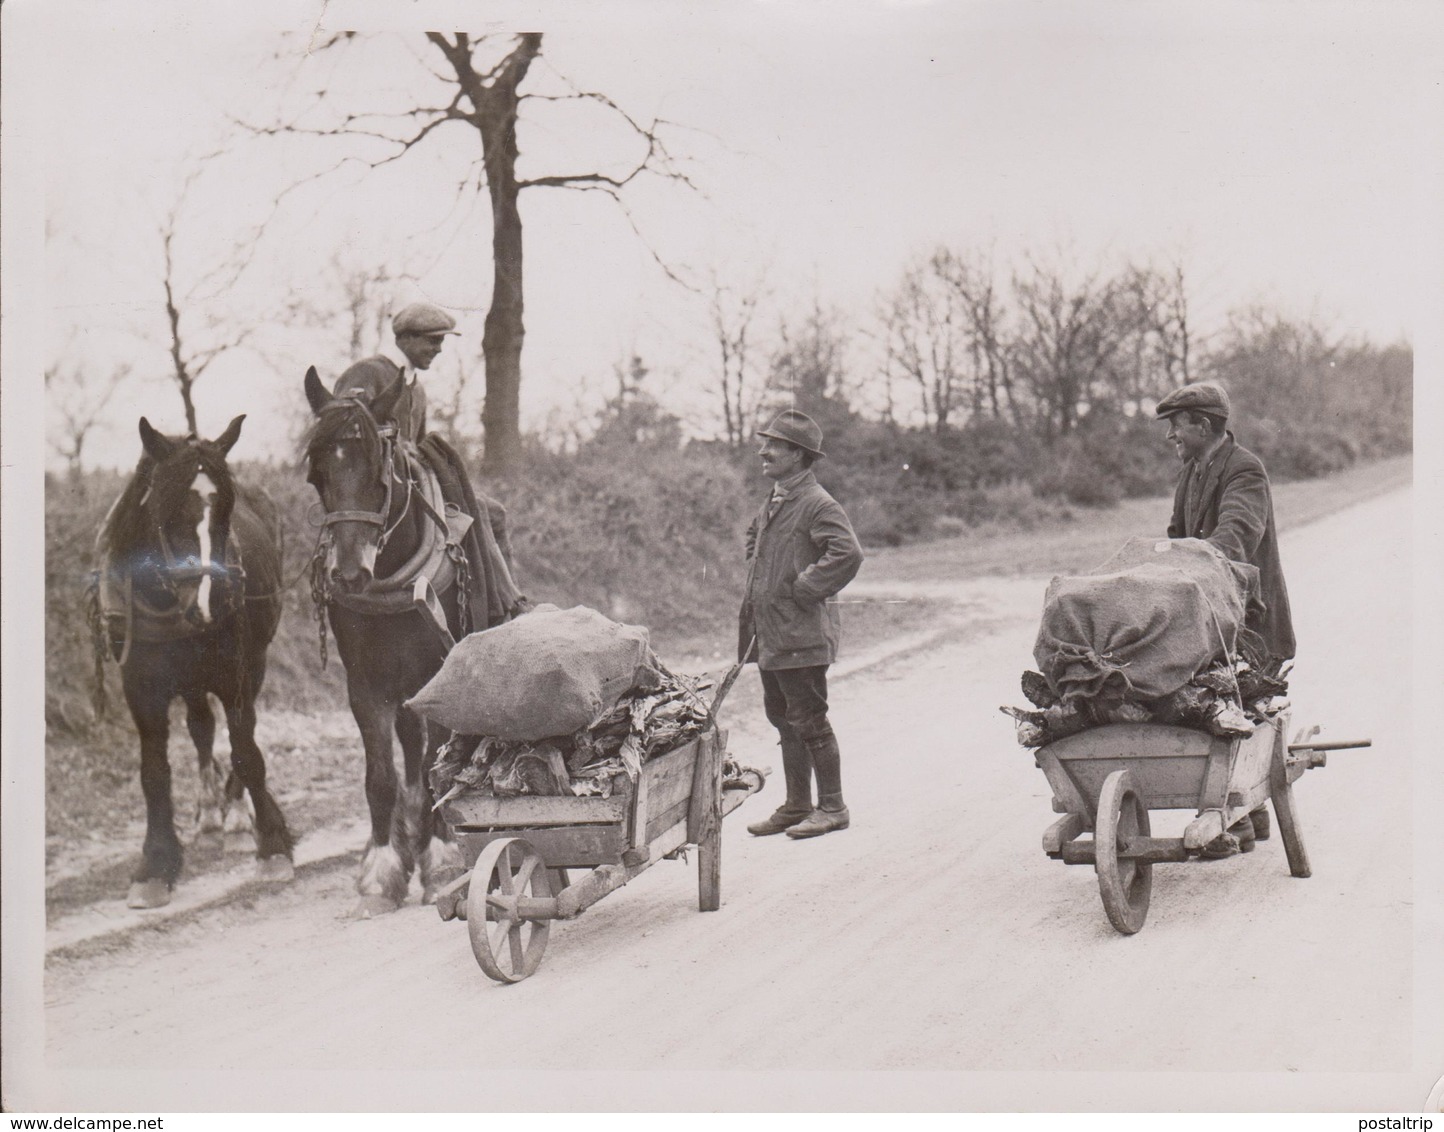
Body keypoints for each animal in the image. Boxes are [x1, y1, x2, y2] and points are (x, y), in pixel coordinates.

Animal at [88, 415, 294, 912]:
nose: (210, 603)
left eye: (227, 509)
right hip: (190, 679)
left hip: (250, 663)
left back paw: (236, 812)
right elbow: (154, 772)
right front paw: (156, 863)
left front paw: (272, 842)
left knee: (238, 733)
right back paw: (210, 811)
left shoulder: (235, 673)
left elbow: (246, 750)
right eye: (167, 511)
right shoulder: (141, 689)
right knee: (201, 726)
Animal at [298, 366, 473, 912]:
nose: (351, 574)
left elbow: (438, 761)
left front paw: (442, 860)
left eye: (381, 475)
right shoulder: (367, 685)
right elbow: (379, 776)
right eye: (317, 478)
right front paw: (381, 870)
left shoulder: (441, 672)